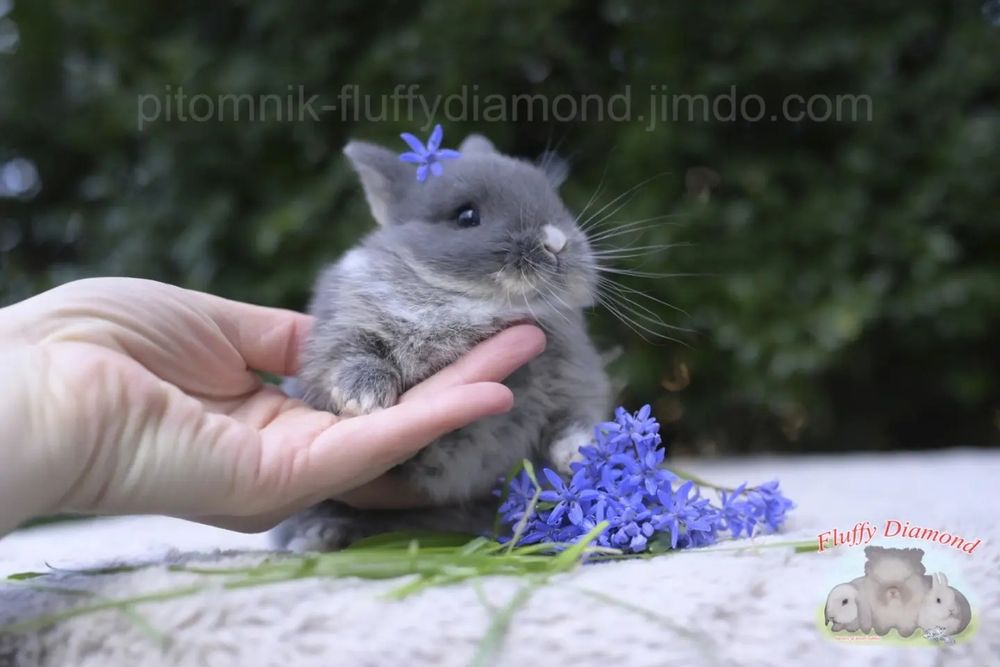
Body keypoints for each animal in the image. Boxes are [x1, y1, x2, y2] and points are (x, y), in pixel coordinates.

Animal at [272, 133, 611, 551]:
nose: (557, 242)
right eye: (466, 217)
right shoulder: (343, 332)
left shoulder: (572, 387)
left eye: (553, 199)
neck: (475, 304)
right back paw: (320, 538)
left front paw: (583, 454)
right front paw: (365, 401)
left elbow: (569, 425)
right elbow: (354, 357)